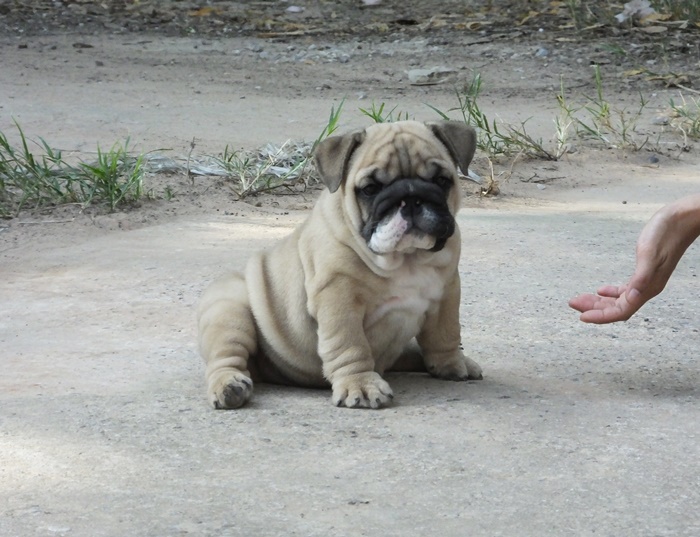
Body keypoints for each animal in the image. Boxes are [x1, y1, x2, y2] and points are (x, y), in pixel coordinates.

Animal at [197, 120, 482, 409]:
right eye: (370, 189)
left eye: (441, 181)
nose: (411, 198)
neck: (406, 258)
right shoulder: (338, 298)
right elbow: (350, 344)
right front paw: (361, 384)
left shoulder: (447, 293)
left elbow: (445, 334)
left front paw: (451, 363)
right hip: (230, 312)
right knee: (226, 357)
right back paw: (229, 385)